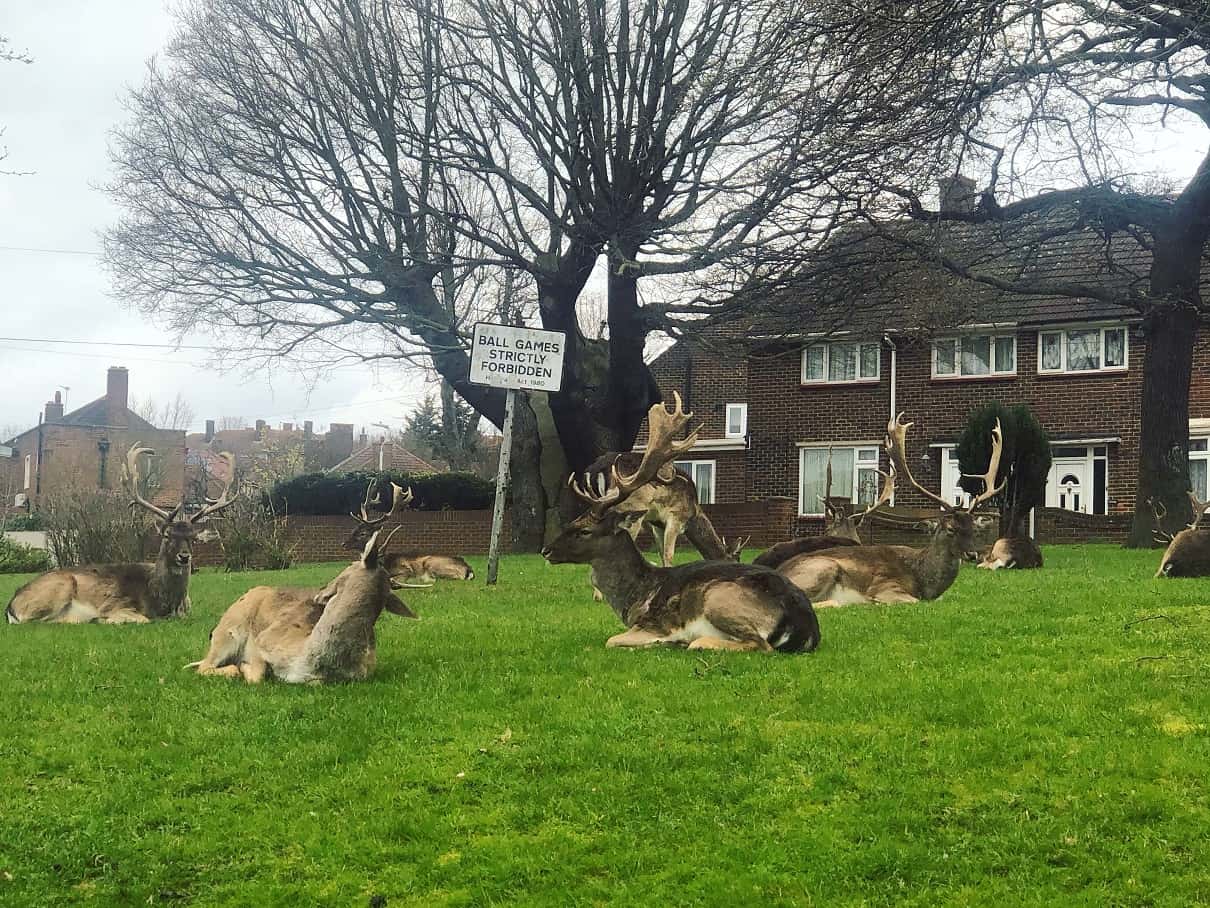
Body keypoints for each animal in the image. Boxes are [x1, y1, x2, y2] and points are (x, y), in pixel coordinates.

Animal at [7, 445, 237, 624]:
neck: (164, 604)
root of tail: (11, 606)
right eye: (167, 535)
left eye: (193, 538)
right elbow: (140, 619)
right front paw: (105, 619)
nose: (184, 556)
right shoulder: (114, 604)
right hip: (60, 587)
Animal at [343, 484, 474, 583]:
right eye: (354, 529)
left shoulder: (405, 570)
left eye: (363, 533)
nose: (343, 544)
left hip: (432, 563)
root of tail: (468, 569)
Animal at [542, 397, 817, 653]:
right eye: (573, 521)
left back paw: (692, 641)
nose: (546, 550)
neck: (634, 595)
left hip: (719, 596)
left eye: (584, 531)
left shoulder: (672, 522)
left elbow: (612, 639)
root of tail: (806, 626)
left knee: (759, 644)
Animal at [774, 416, 1001, 607]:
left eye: (973, 528)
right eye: (950, 528)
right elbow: (911, 600)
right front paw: (874, 601)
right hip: (822, 568)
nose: (972, 554)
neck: (923, 581)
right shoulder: (885, 585)